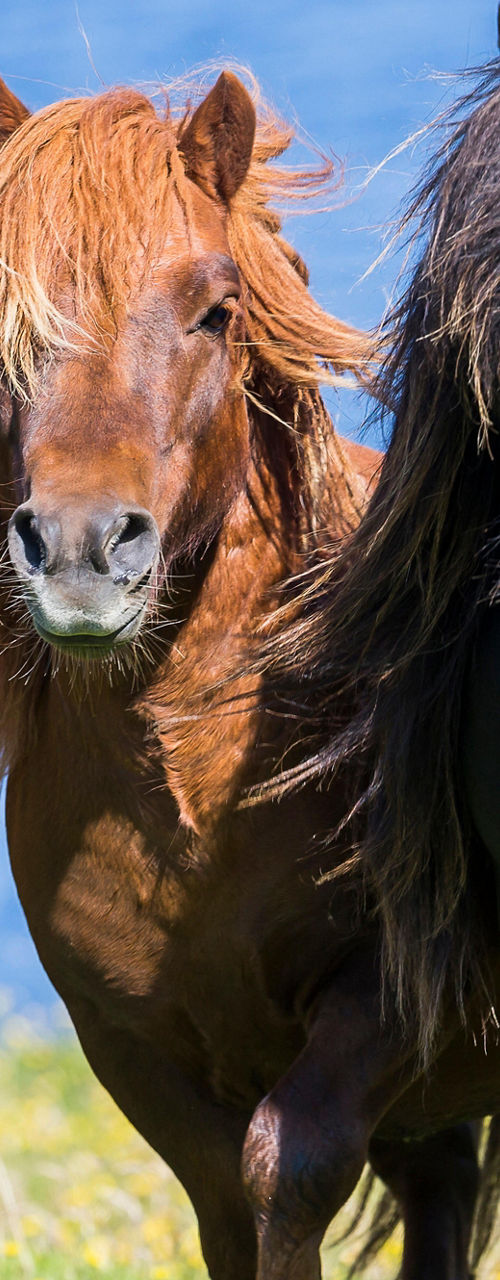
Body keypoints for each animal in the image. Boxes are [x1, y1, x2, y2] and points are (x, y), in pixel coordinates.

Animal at [0, 65, 495, 1280]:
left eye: (214, 310)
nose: (80, 554)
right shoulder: (133, 1047)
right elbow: (228, 1196)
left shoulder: (388, 997)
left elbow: (288, 1166)